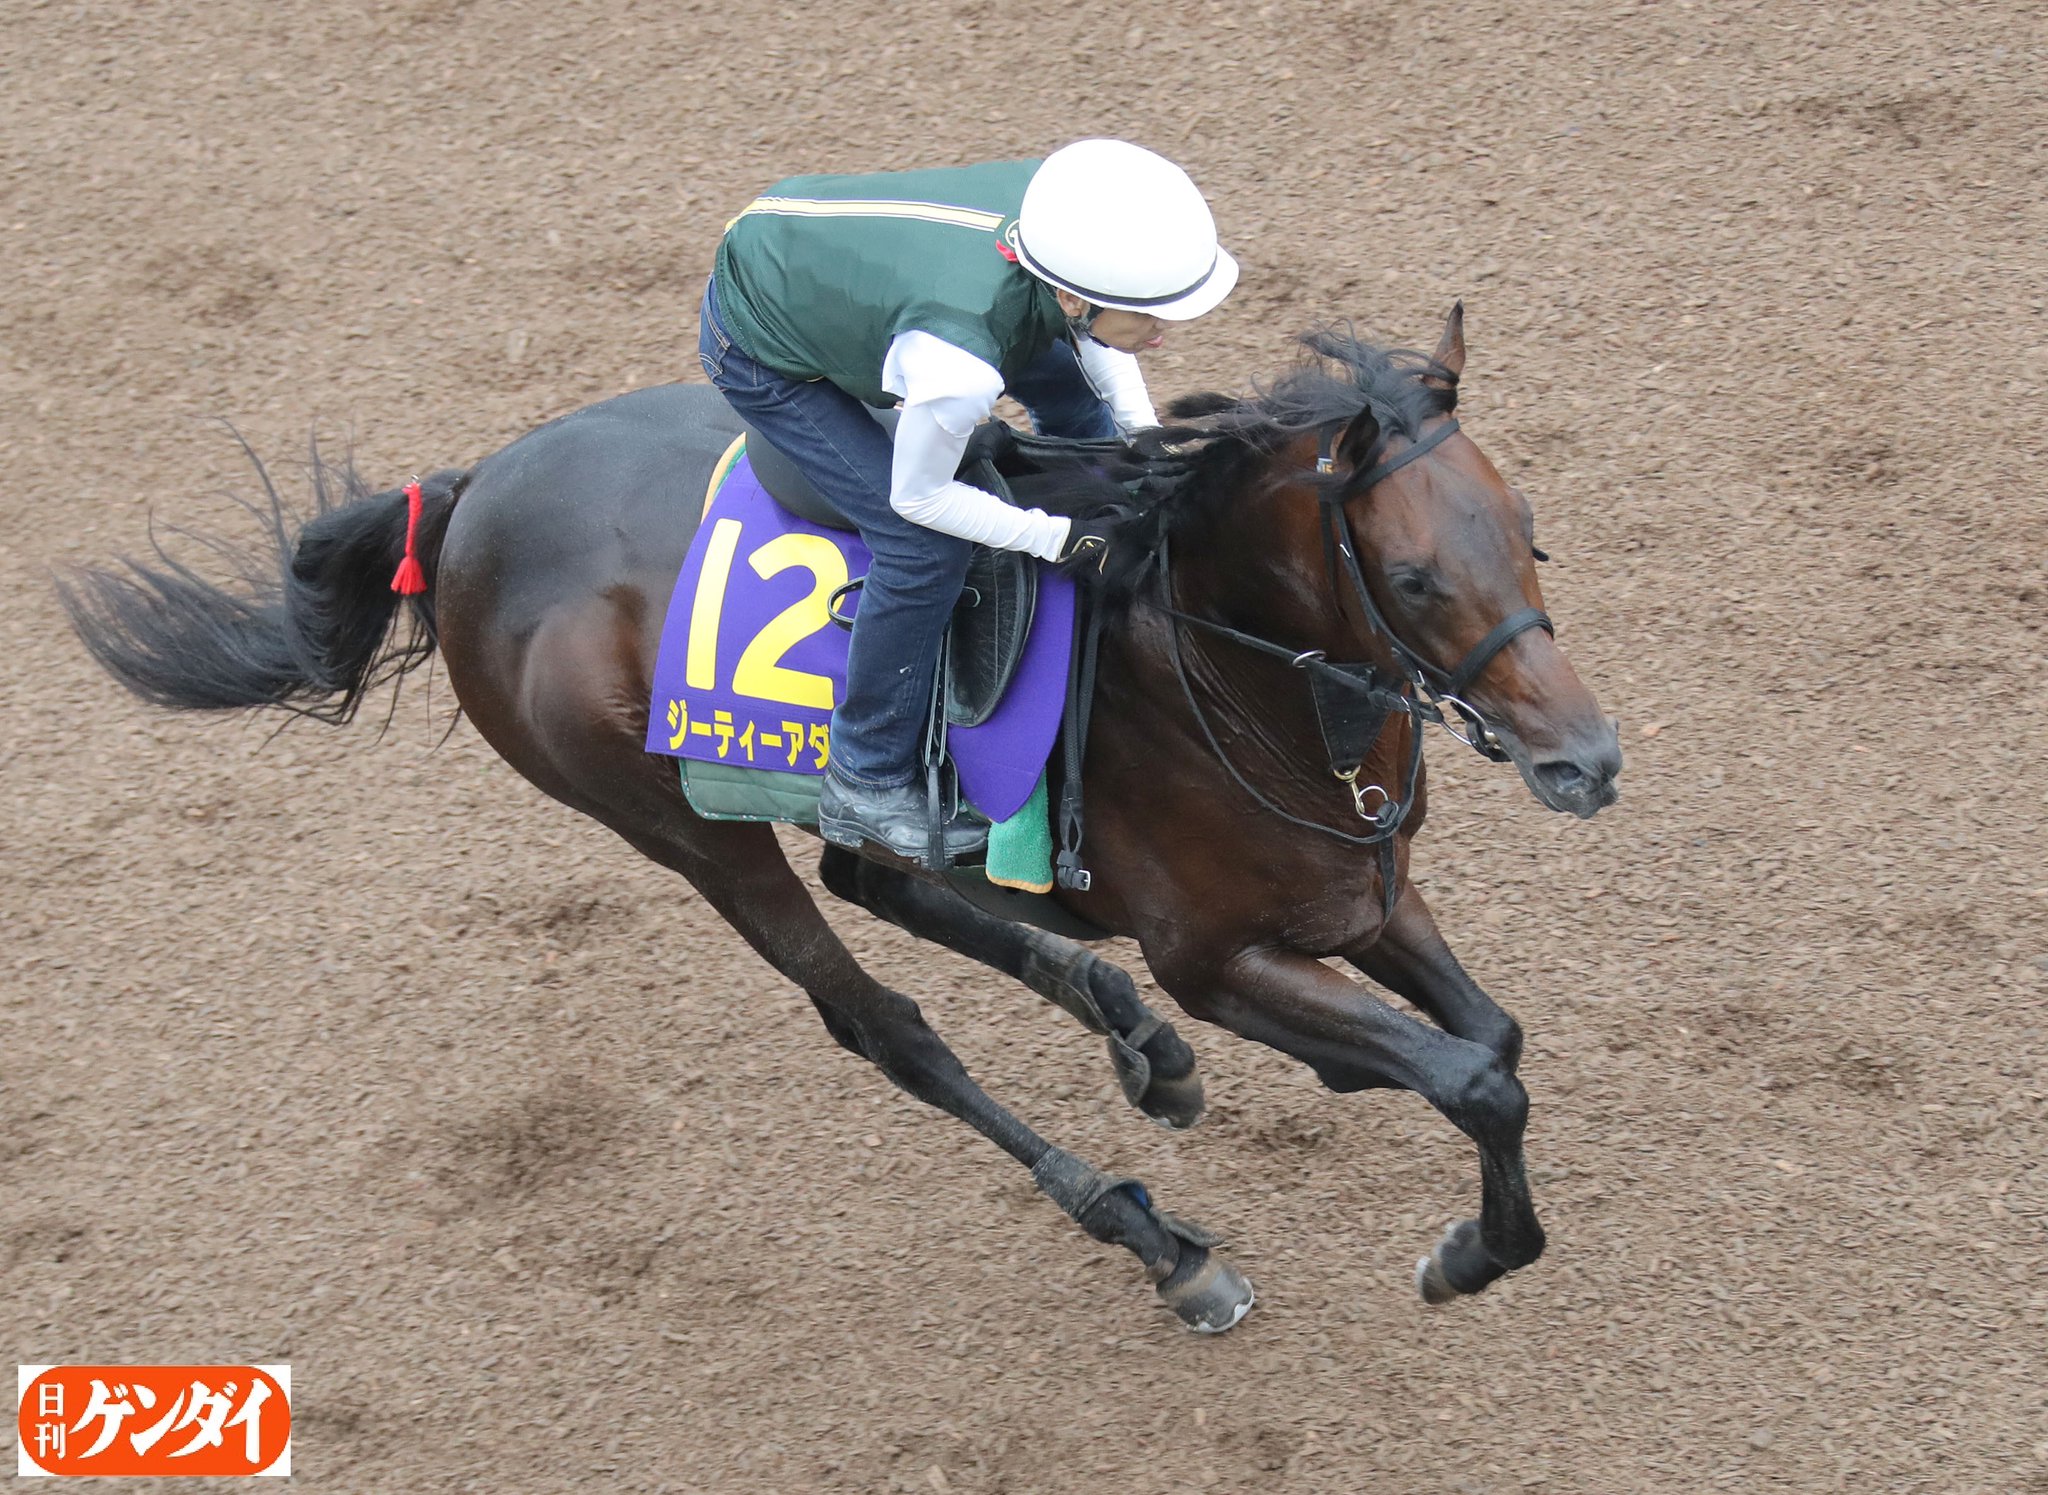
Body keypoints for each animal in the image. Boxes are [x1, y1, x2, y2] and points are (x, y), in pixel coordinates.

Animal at [60, 305, 1621, 1332]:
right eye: (1412, 578)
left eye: (1531, 531)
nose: (1587, 761)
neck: (1222, 672)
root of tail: (467, 497)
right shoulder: (1223, 956)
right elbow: (1473, 1077)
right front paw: (1461, 1252)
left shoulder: (1365, 892)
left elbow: (1492, 1041)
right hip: (680, 827)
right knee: (880, 1018)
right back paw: (1155, 1234)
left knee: (897, 885)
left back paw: (1130, 1037)